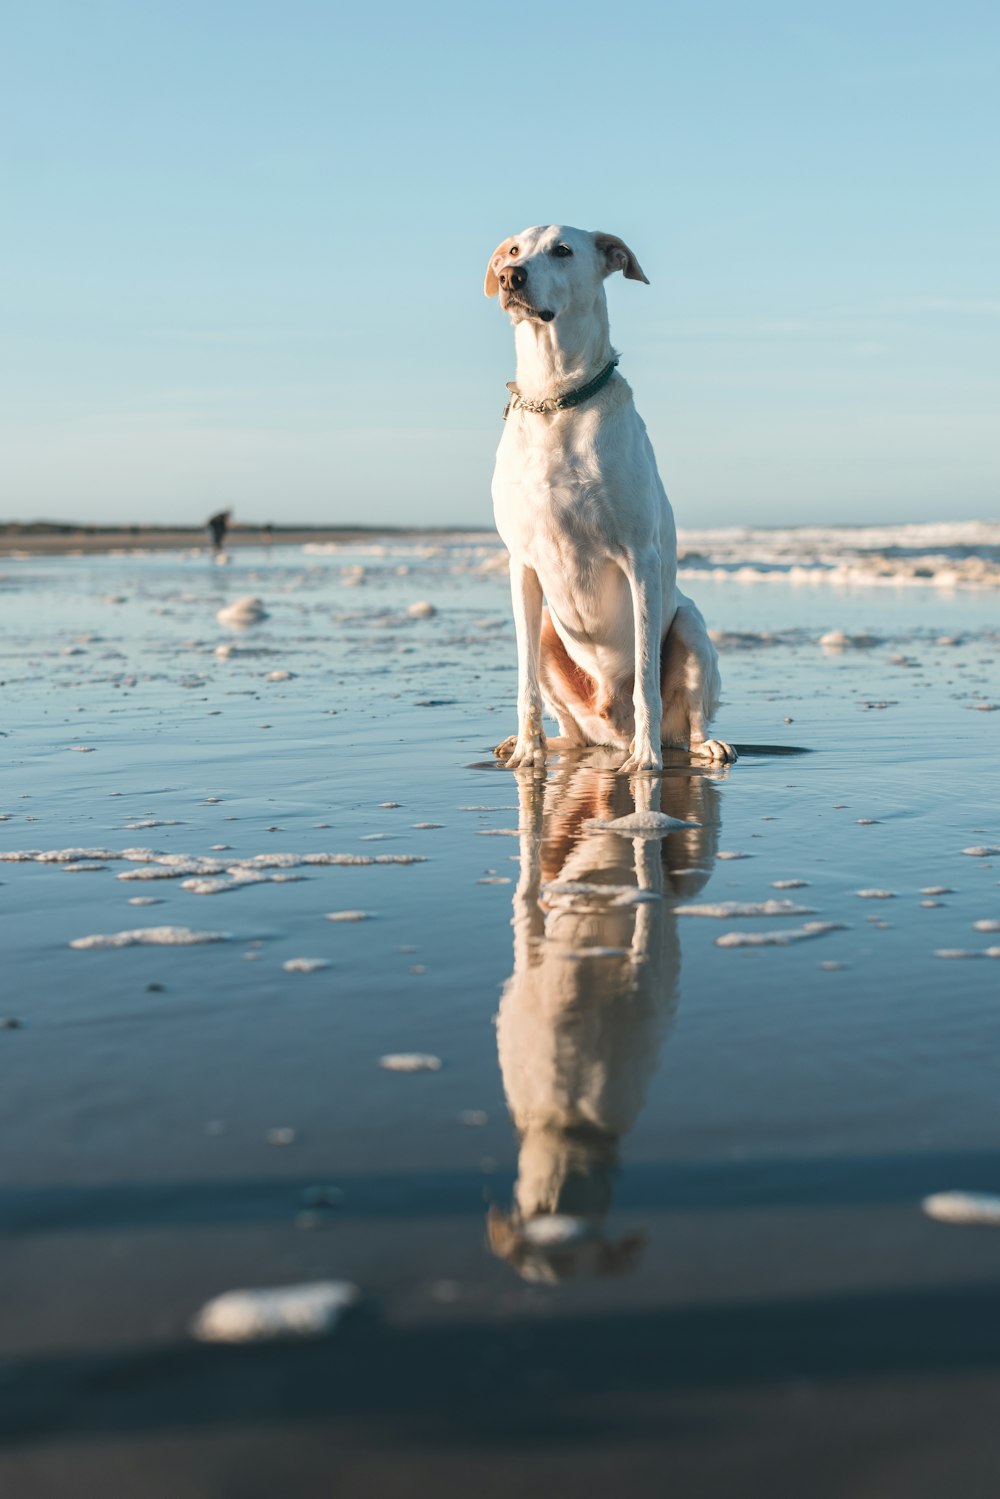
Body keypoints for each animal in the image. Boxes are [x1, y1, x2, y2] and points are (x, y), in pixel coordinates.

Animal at [485, 224, 734, 773]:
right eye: (513, 250)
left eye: (562, 250)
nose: (510, 276)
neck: (555, 401)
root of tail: (609, 728)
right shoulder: (521, 564)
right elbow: (524, 683)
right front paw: (528, 750)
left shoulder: (640, 559)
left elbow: (644, 677)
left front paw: (646, 759)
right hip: (549, 633)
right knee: (570, 728)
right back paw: (537, 745)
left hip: (690, 626)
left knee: (687, 716)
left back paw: (694, 745)